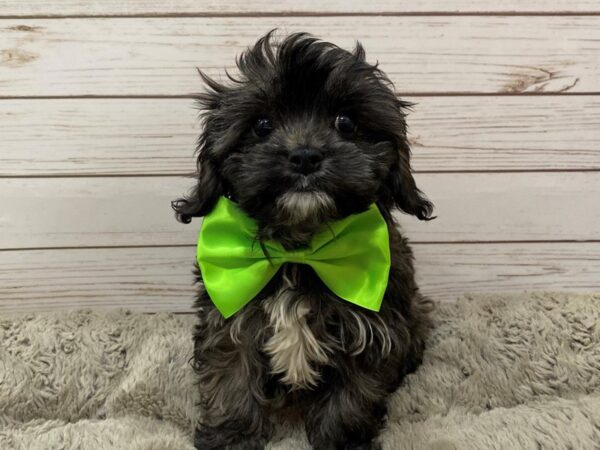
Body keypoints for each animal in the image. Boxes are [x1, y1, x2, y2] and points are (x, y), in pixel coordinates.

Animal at [171, 31, 434, 450]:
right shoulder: (229, 320)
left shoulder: (370, 328)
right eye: (262, 125)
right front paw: (232, 436)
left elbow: (353, 394)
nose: (305, 156)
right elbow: (231, 379)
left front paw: (344, 441)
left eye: (346, 123)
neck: (300, 252)